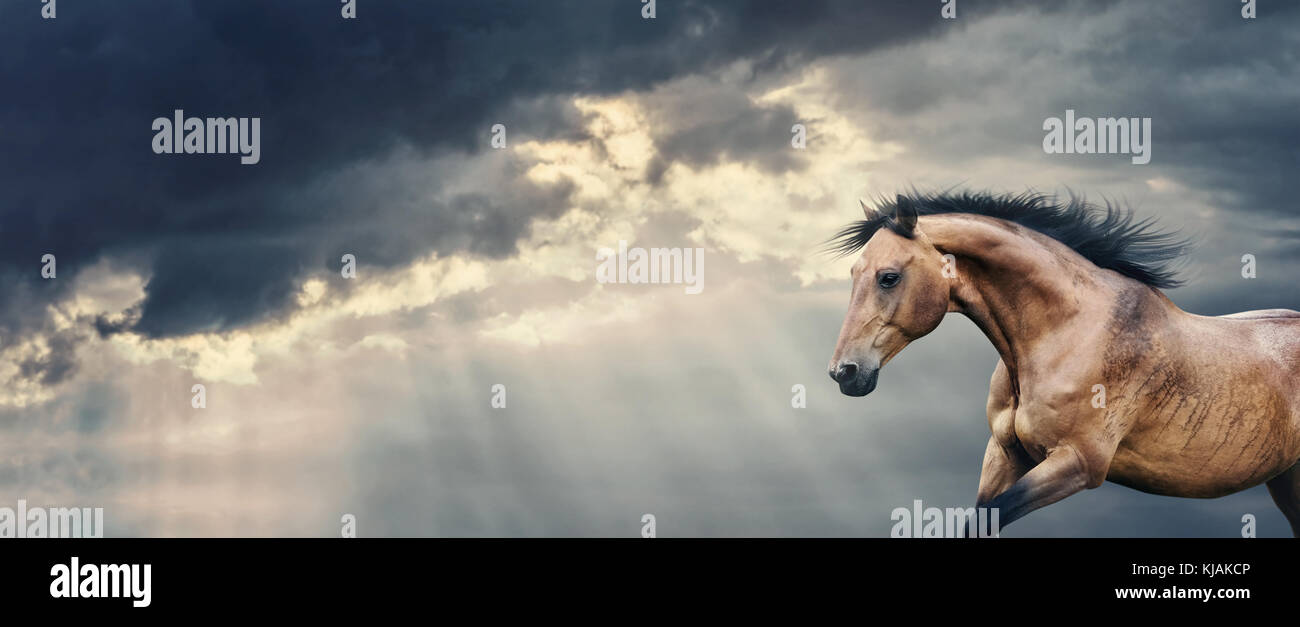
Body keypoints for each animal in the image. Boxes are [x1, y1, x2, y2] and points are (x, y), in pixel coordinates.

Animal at [826, 191, 1300, 536]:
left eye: (889, 277)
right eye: (854, 275)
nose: (844, 373)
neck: (1067, 332)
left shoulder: (1078, 463)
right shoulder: (1005, 455)